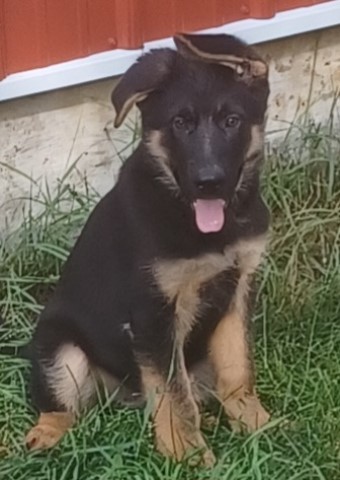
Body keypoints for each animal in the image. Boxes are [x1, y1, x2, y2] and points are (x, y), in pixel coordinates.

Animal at [25, 32, 270, 464]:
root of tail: (125, 394)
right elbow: (173, 393)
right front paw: (188, 455)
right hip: (59, 347)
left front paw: (255, 424)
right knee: (62, 405)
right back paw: (46, 435)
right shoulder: (153, 312)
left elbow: (237, 366)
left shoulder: (238, 287)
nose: (208, 183)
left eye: (232, 121)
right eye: (179, 123)